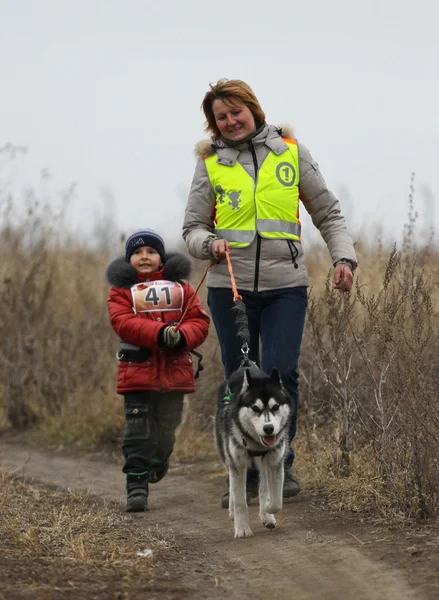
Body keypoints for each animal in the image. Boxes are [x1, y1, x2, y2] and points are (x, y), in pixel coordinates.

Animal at [215, 366, 294, 540]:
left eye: (275, 407)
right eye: (255, 408)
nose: (268, 428)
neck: (256, 444)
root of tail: (245, 366)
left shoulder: (275, 462)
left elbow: (276, 500)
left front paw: (268, 511)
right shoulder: (237, 464)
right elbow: (240, 501)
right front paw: (242, 529)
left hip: (264, 463)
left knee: (263, 485)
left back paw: (266, 515)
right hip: (226, 455)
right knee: (233, 485)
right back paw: (231, 510)